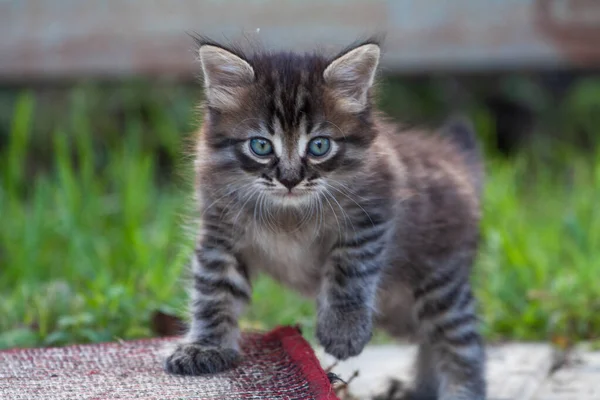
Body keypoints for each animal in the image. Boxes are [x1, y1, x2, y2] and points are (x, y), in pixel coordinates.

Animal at [165, 37, 488, 400]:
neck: (287, 213)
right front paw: (206, 346)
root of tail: (454, 162)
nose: (290, 179)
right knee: (427, 338)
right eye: (261, 146)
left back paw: (460, 388)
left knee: (461, 343)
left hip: (439, 283)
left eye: (319, 146)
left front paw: (343, 330)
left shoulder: (372, 213)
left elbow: (349, 269)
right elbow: (213, 291)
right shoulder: (220, 233)